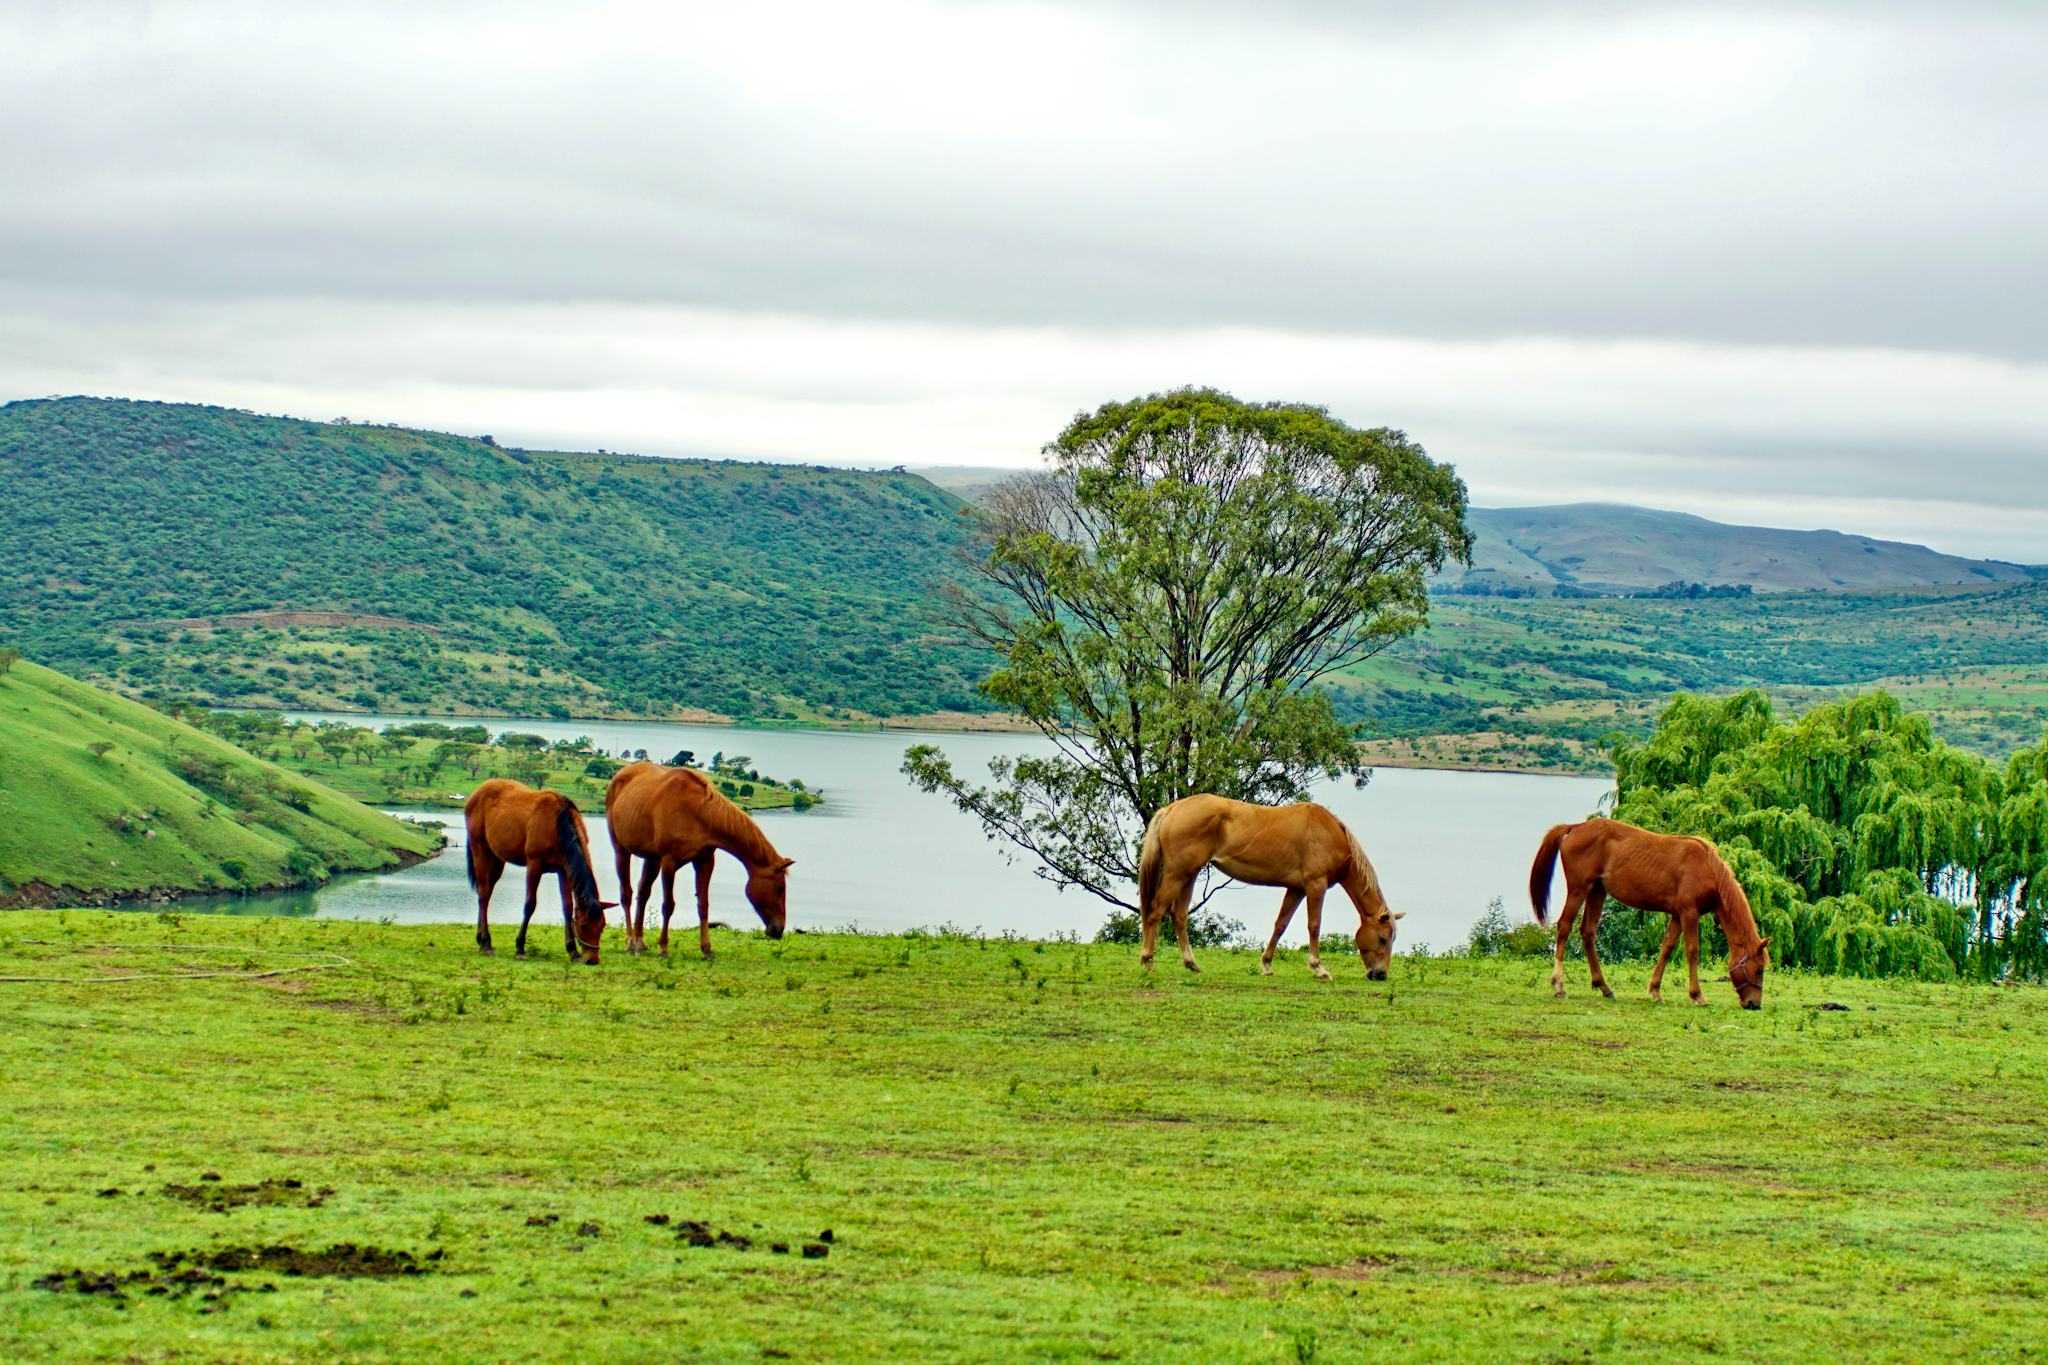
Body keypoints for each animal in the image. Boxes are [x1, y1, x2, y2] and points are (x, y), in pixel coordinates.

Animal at [466, 777, 614, 961]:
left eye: (602, 926)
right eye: (584, 925)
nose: (592, 960)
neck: (558, 824)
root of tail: (477, 792)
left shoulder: (564, 870)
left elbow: (567, 906)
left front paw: (572, 950)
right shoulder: (534, 865)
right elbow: (530, 904)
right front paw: (520, 947)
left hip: (496, 859)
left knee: (486, 891)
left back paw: (481, 938)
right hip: (480, 851)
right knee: (484, 894)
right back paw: (486, 943)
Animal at [598, 757, 790, 961]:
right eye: (779, 888)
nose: (778, 929)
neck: (698, 813)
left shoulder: (704, 861)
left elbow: (703, 905)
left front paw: (707, 948)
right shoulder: (669, 862)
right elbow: (668, 905)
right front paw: (663, 947)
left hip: (652, 858)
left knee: (642, 893)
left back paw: (639, 941)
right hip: (621, 850)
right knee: (626, 894)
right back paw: (630, 943)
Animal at [1130, 794, 1400, 978]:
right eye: (1383, 939)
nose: (1381, 974)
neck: (1330, 833)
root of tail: (1172, 809)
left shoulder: (1296, 889)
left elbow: (1281, 924)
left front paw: (1267, 965)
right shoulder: (1315, 885)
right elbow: (1314, 925)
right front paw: (1319, 968)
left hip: (1189, 874)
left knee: (1179, 915)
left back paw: (1191, 963)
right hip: (1177, 874)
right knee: (1155, 911)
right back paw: (1147, 961)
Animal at [1531, 818, 1769, 1010]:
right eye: (1758, 969)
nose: (1754, 1004)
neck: (1707, 868)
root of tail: (1576, 827)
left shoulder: (1677, 915)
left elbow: (1667, 948)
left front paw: (1655, 991)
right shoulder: (1689, 913)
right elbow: (1692, 951)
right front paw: (1697, 995)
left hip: (1597, 891)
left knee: (1588, 932)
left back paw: (1604, 987)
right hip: (1579, 889)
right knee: (1564, 927)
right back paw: (1559, 986)